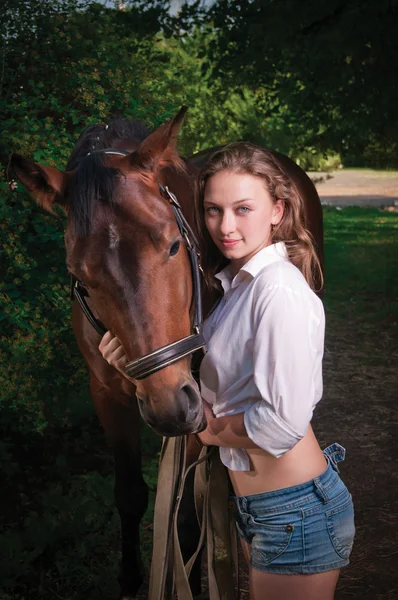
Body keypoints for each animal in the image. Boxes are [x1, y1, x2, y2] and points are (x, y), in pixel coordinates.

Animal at [11, 109, 324, 600]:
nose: (168, 406)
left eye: (174, 244)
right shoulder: (109, 394)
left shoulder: (199, 404)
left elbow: (188, 519)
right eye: (78, 271)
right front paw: (129, 580)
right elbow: (129, 494)